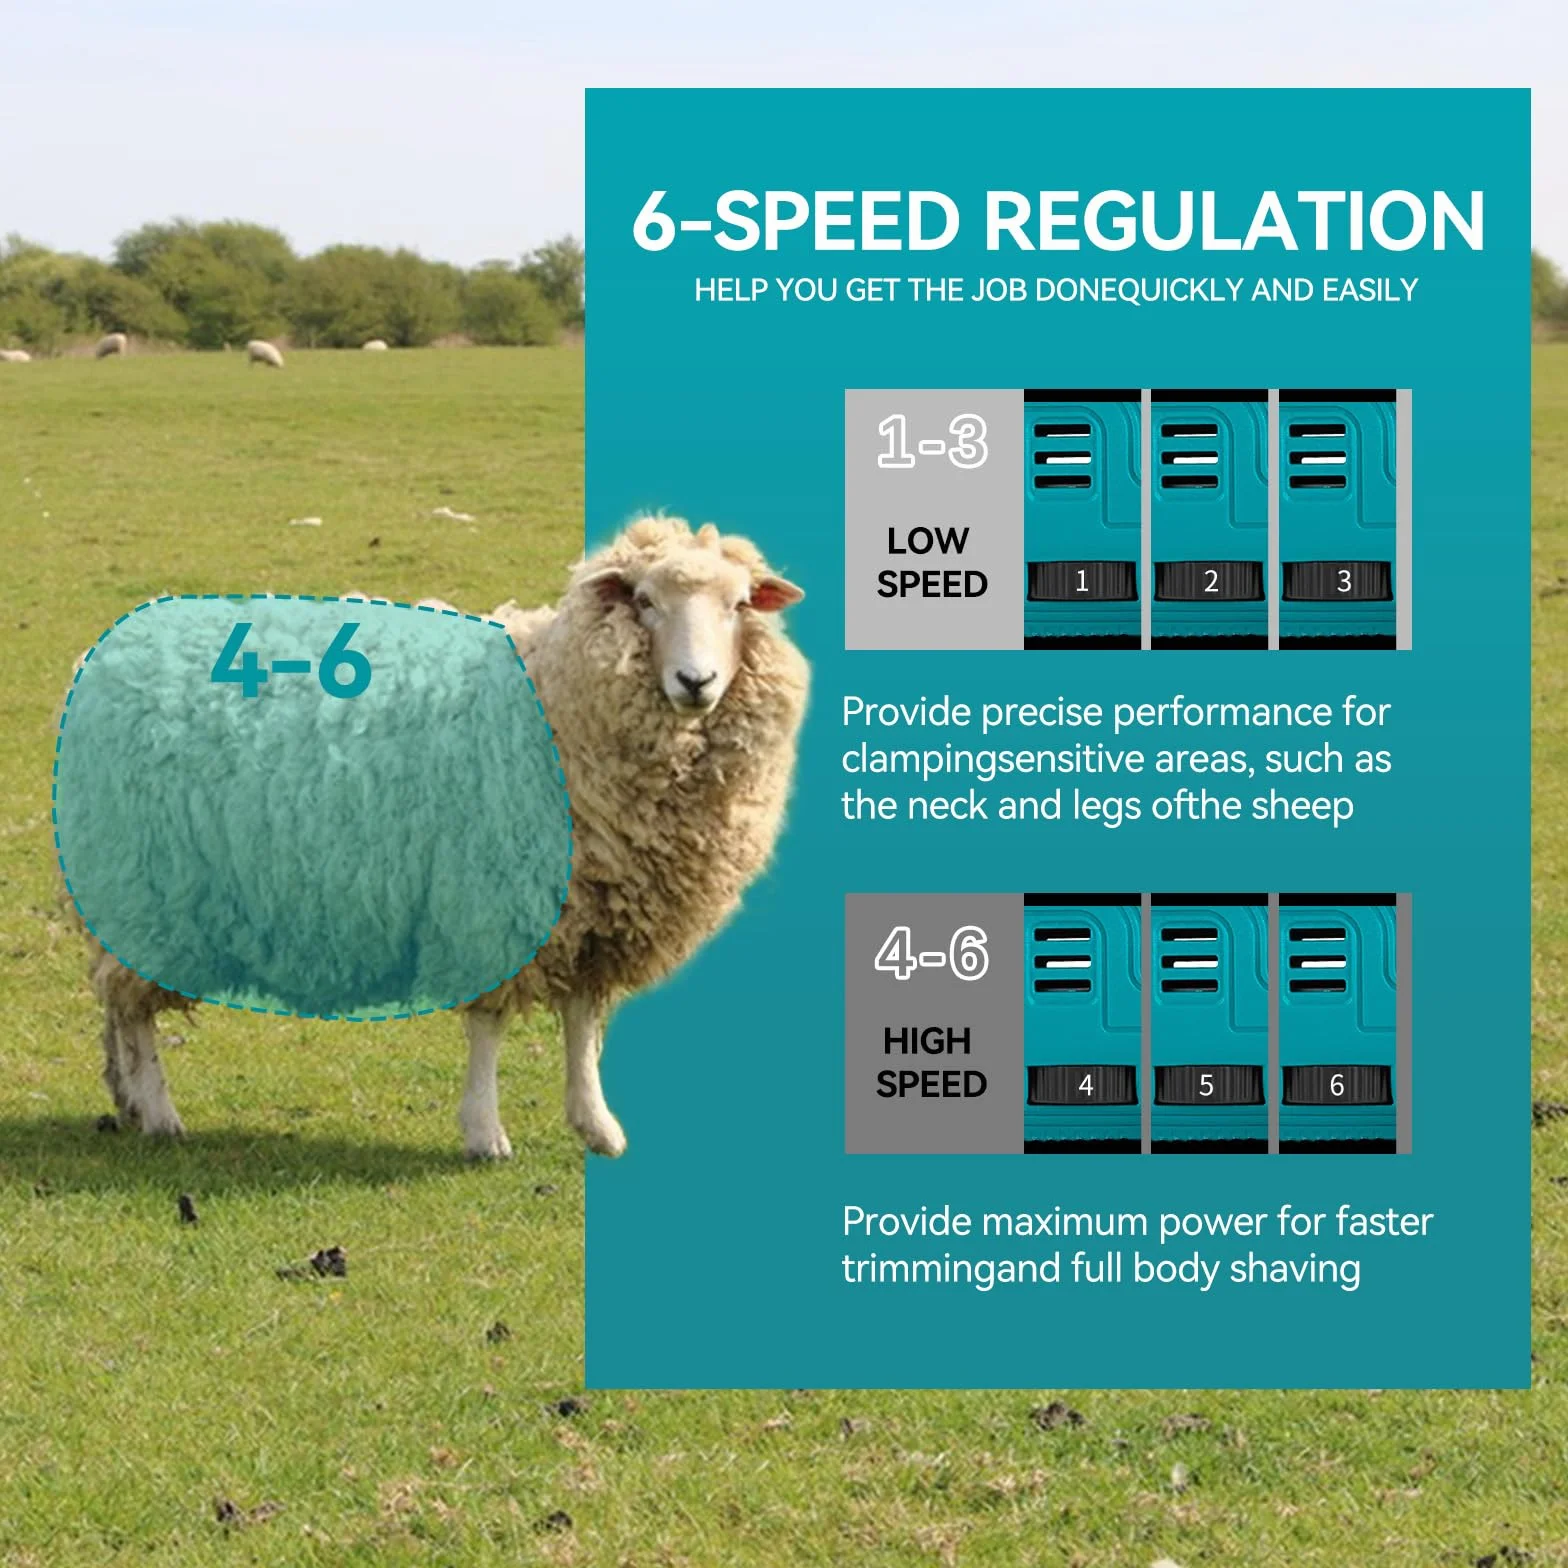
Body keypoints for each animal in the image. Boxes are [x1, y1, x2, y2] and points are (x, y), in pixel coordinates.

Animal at [69, 516, 808, 1160]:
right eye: (646, 601)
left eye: (741, 604)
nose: (695, 682)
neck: (561, 700)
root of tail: (107, 653)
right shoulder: (491, 896)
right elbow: (490, 1025)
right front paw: (485, 1132)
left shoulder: (595, 911)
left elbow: (582, 1023)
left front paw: (595, 1122)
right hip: (143, 881)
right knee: (132, 1008)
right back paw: (158, 1110)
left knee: (113, 999)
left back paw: (126, 1098)